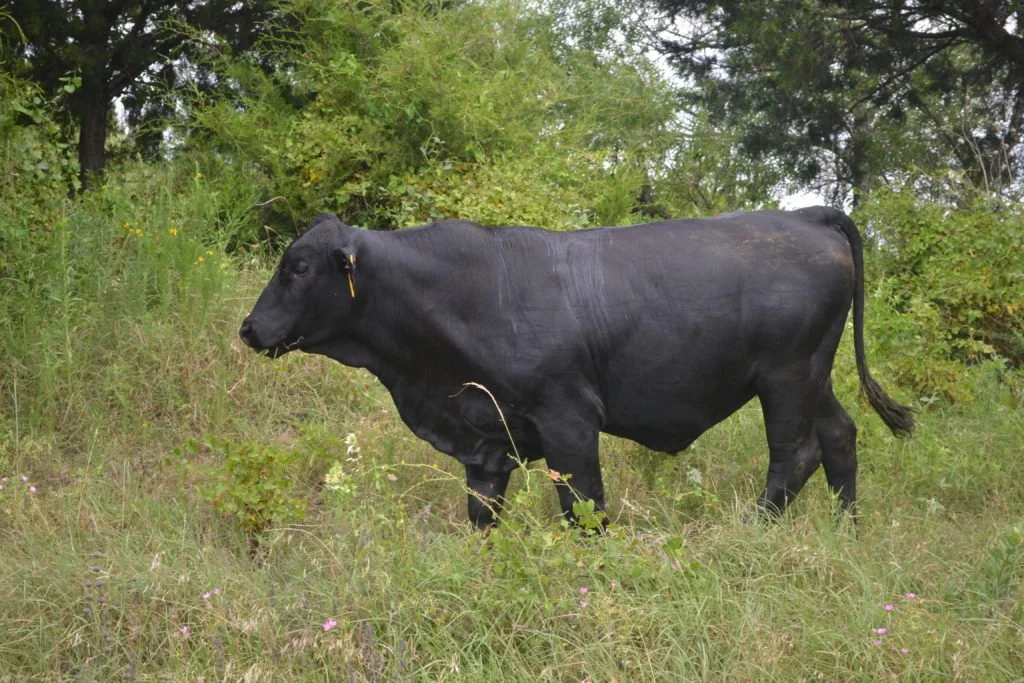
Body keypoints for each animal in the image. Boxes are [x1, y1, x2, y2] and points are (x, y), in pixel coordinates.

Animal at [239, 207, 913, 529]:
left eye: (298, 268)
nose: (249, 328)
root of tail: (803, 214)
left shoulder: (567, 418)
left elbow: (584, 506)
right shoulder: (488, 438)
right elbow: (482, 514)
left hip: (786, 376)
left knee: (794, 455)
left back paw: (756, 533)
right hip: (813, 375)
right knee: (840, 437)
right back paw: (846, 533)